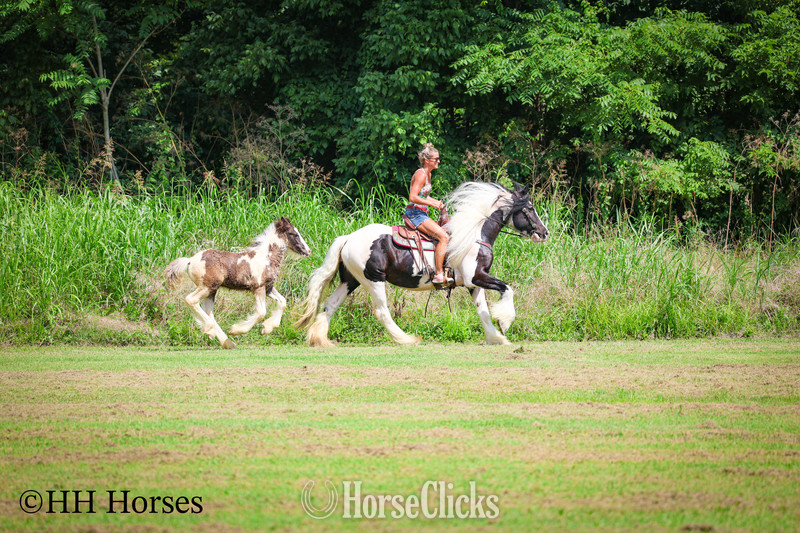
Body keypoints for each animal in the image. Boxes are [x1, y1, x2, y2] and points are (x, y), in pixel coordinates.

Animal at [165, 217, 311, 349]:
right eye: (294, 234)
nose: (308, 251)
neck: (266, 258)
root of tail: (190, 260)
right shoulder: (258, 288)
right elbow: (261, 312)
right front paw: (237, 330)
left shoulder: (268, 288)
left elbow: (282, 302)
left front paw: (267, 328)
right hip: (207, 287)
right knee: (191, 300)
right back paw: (211, 330)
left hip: (211, 290)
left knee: (208, 311)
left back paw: (227, 342)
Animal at [295, 182, 548, 346]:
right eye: (529, 209)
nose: (544, 232)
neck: (475, 234)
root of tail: (348, 238)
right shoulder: (477, 277)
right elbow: (508, 289)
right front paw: (505, 322)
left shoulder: (472, 284)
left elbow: (483, 312)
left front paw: (497, 337)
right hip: (374, 279)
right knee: (382, 312)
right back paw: (406, 339)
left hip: (350, 280)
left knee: (330, 305)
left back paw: (319, 339)